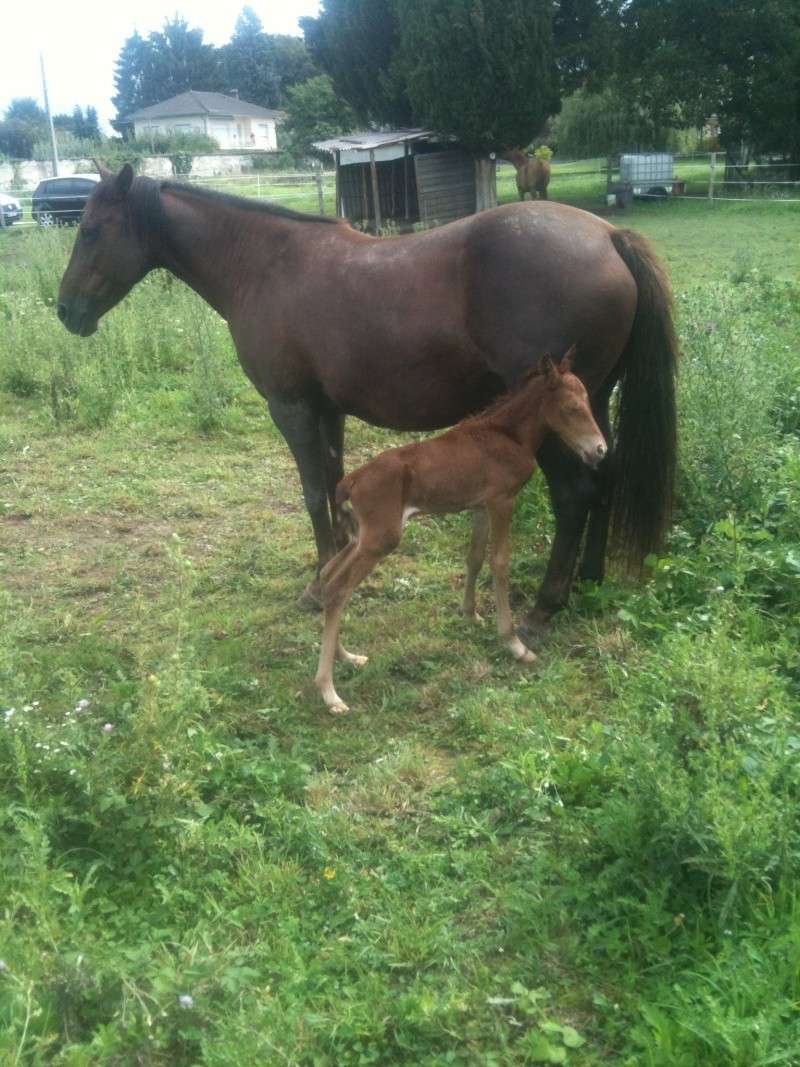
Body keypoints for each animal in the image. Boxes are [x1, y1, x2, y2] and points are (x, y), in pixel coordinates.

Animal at [57, 162, 678, 635]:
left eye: (91, 231)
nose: (66, 311)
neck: (263, 264)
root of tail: (609, 236)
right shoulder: (327, 410)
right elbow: (334, 489)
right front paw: (338, 566)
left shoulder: (292, 409)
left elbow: (313, 493)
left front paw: (317, 584)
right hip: (589, 407)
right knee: (605, 478)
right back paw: (589, 579)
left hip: (555, 415)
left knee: (575, 495)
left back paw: (545, 606)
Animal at [313, 352, 605, 717]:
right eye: (569, 408)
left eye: (588, 401)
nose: (600, 450)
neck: (507, 434)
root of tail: (351, 480)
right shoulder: (502, 501)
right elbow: (500, 563)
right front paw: (514, 643)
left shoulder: (480, 505)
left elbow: (475, 557)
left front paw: (470, 614)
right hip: (381, 538)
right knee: (339, 588)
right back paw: (328, 691)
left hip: (362, 537)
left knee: (328, 574)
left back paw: (346, 656)